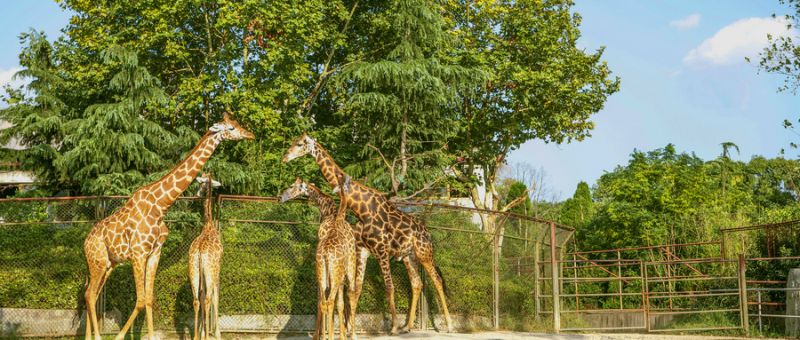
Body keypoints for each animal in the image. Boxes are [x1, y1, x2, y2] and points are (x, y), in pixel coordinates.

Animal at [81, 113, 250, 340]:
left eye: (237, 124)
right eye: (231, 128)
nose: (250, 134)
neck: (160, 206)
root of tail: (85, 242)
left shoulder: (154, 253)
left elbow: (148, 299)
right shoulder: (138, 253)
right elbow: (140, 300)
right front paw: (118, 336)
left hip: (107, 264)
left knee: (90, 293)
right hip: (98, 261)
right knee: (90, 294)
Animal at [282, 175, 356, 340]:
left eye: (291, 186)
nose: (280, 197)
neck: (331, 214)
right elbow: (339, 303)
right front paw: (332, 334)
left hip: (330, 271)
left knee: (328, 301)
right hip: (337, 271)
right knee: (336, 299)